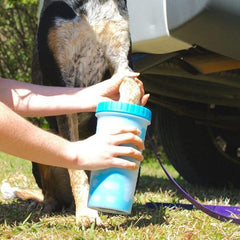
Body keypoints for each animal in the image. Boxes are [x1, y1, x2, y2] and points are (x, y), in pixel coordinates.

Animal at [29, 0, 137, 227]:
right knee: (49, 194)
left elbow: (130, 96)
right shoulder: (63, 82)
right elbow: (77, 168)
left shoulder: (123, 64)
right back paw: (45, 206)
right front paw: (86, 213)